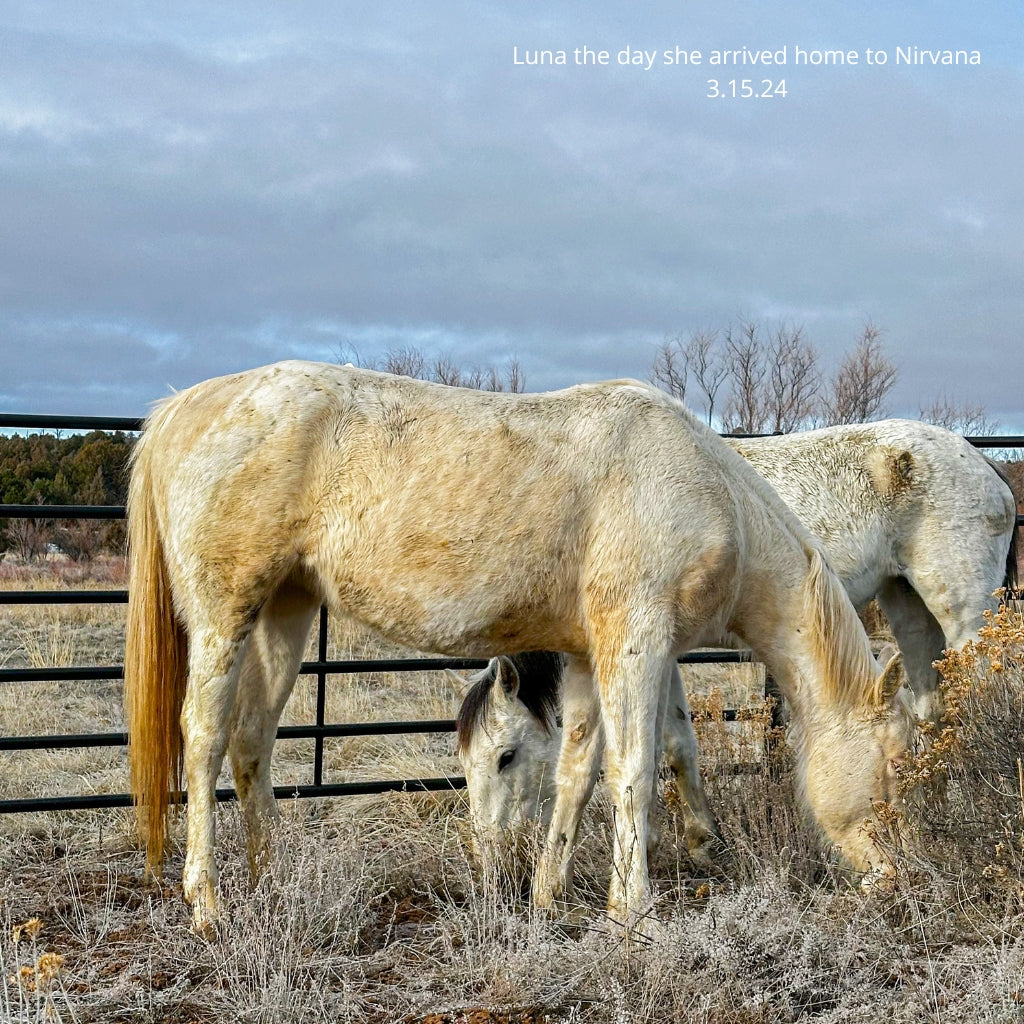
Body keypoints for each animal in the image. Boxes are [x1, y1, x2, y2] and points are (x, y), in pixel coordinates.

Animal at [123, 364, 917, 933]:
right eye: (891, 767)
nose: (896, 877)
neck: (710, 489)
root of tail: (180, 409)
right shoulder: (637, 642)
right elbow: (634, 770)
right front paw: (633, 908)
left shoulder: (590, 655)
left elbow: (577, 772)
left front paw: (547, 892)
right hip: (225, 616)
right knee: (204, 738)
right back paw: (207, 902)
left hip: (285, 613)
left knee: (252, 738)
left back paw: (274, 877)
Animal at [456, 419, 1015, 860]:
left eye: (506, 756)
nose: (494, 857)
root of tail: (988, 469)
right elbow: (677, 740)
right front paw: (697, 839)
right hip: (908, 605)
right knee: (931, 708)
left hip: (965, 612)